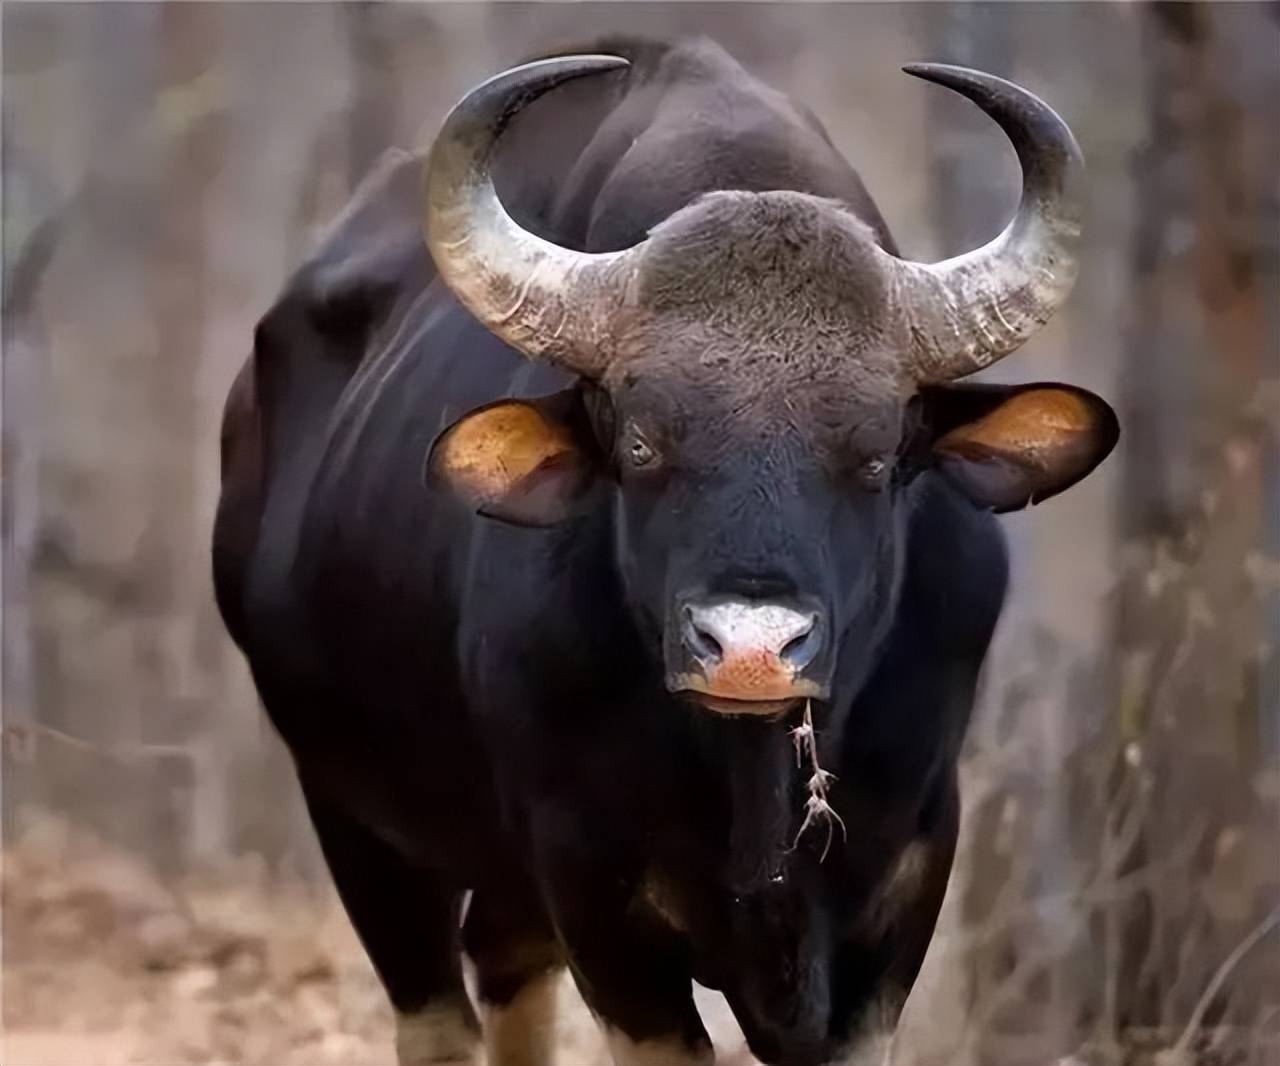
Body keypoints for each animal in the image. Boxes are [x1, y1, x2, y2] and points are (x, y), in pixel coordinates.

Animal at [215, 35, 1116, 1064]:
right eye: (643, 443)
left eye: (879, 455)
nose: (753, 649)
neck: (749, 782)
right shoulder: (599, 902)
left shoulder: (904, 894)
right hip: (357, 821)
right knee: (437, 1007)